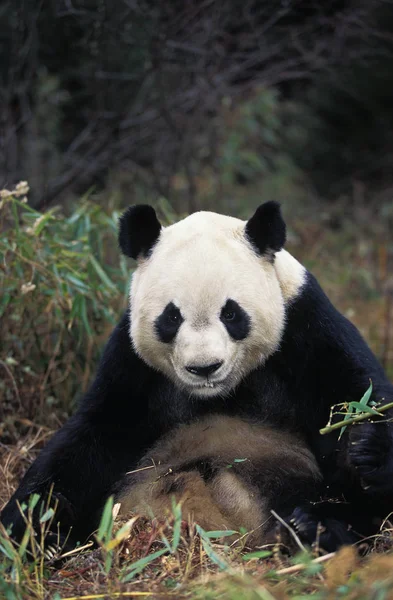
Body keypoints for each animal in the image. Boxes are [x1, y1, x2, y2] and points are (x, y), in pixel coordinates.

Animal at [2, 203, 392, 552]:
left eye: (231, 313)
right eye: (171, 317)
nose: (204, 368)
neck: (221, 393)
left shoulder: (305, 325)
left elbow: (354, 396)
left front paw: (365, 448)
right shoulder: (131, 360)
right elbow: (93, 439)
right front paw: (26, 527)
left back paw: (313, 527)